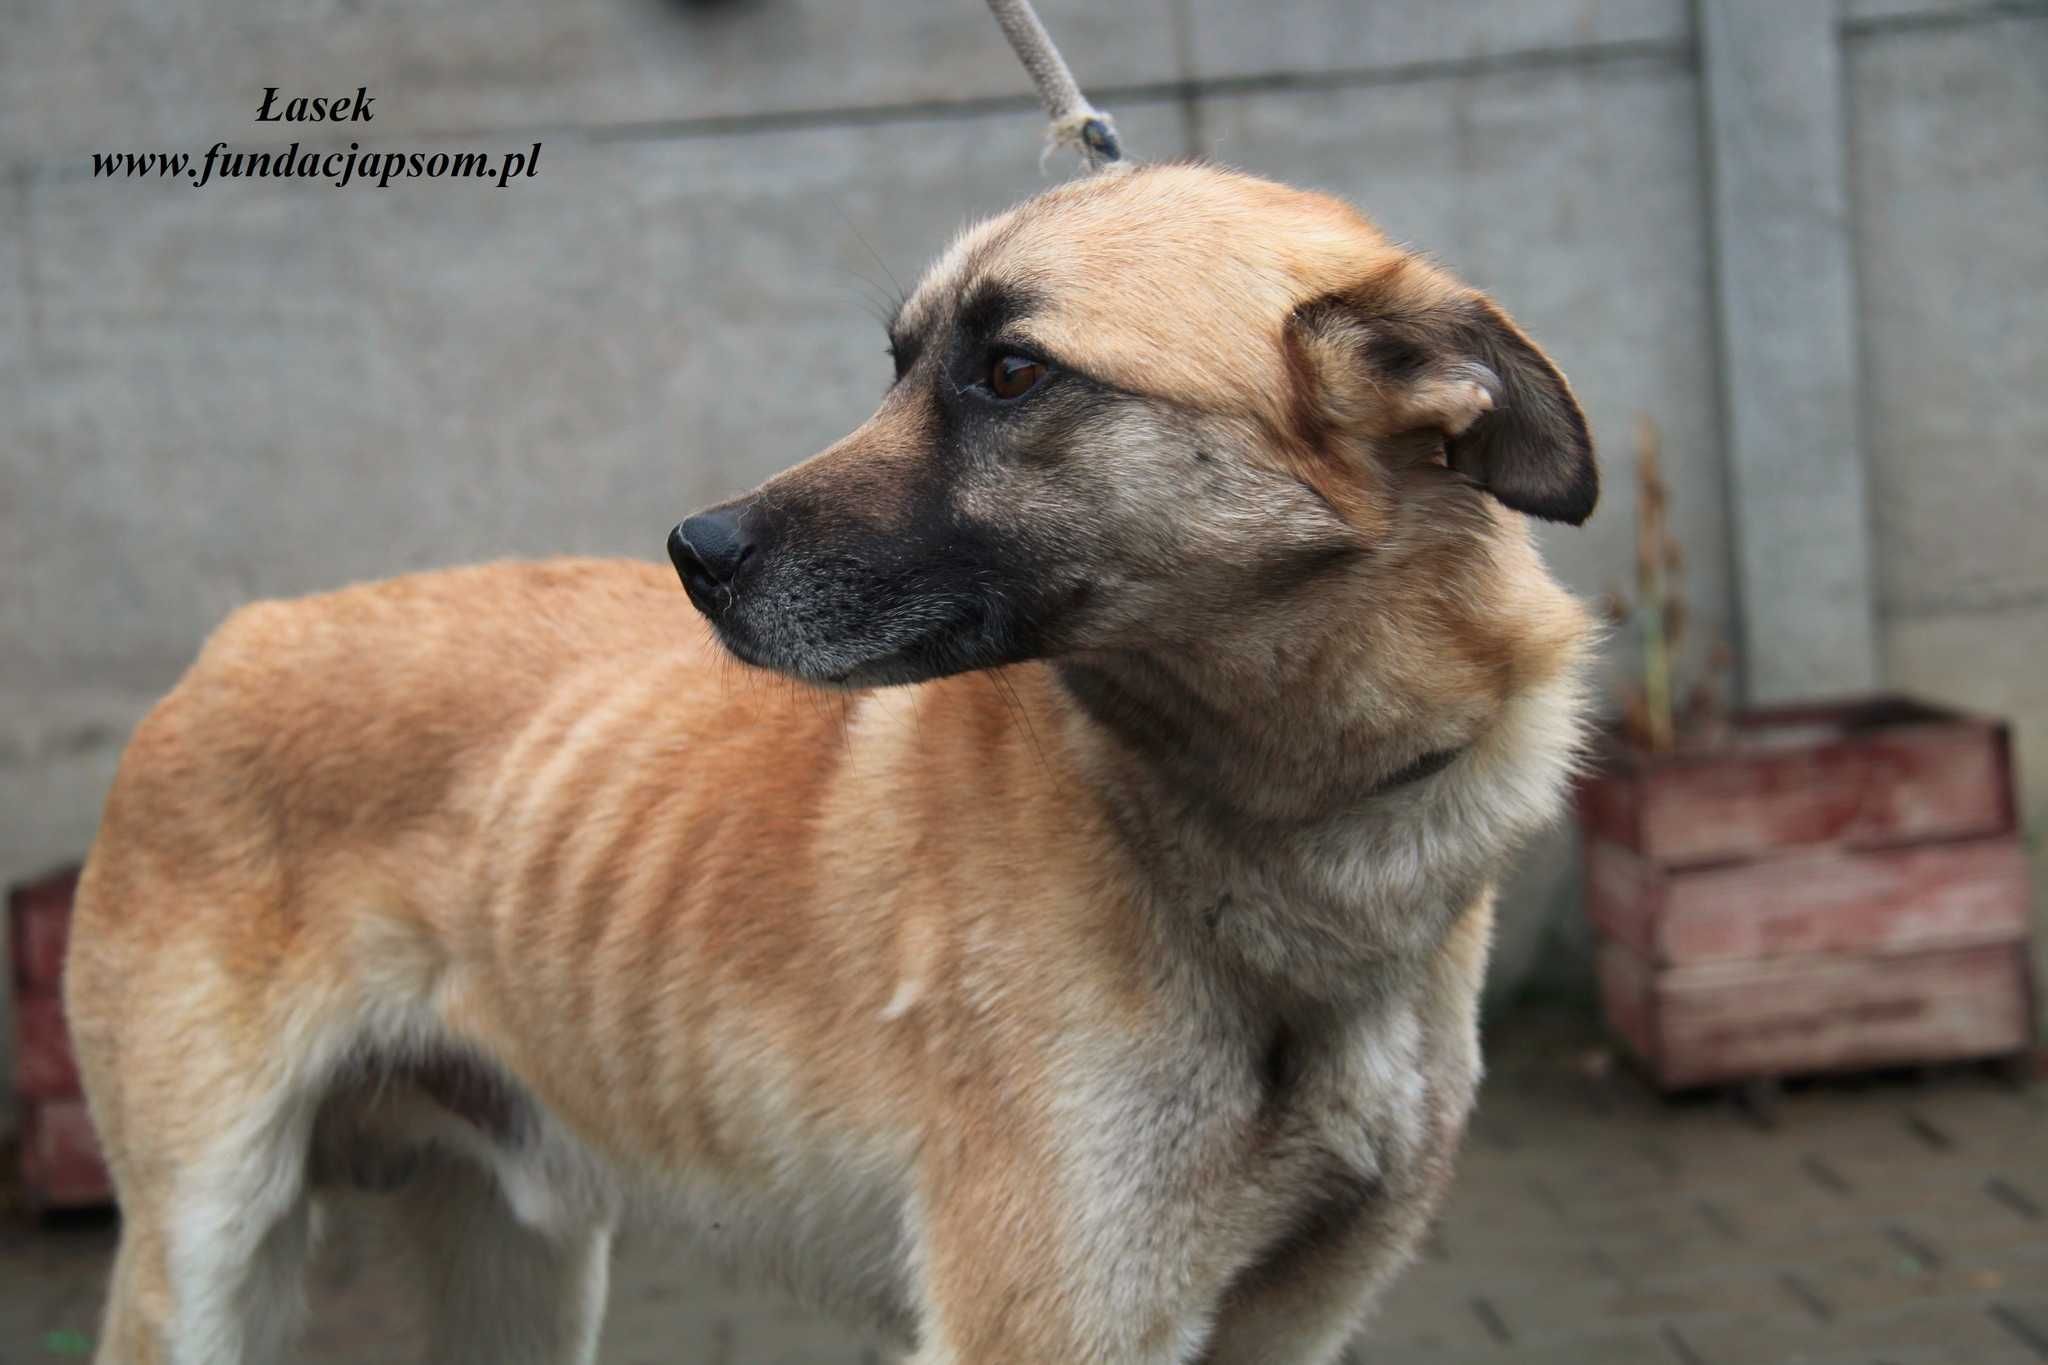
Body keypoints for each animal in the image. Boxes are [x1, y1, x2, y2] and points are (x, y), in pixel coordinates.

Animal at [64, 162, 1597, 1365]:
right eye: (901, 363)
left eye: (1012, 371)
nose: (692, 554)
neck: (1286, 836)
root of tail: (233, 641)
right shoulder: (1044, 1321)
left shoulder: (1285, 1323)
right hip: (202, 1260)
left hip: (519, 1269)